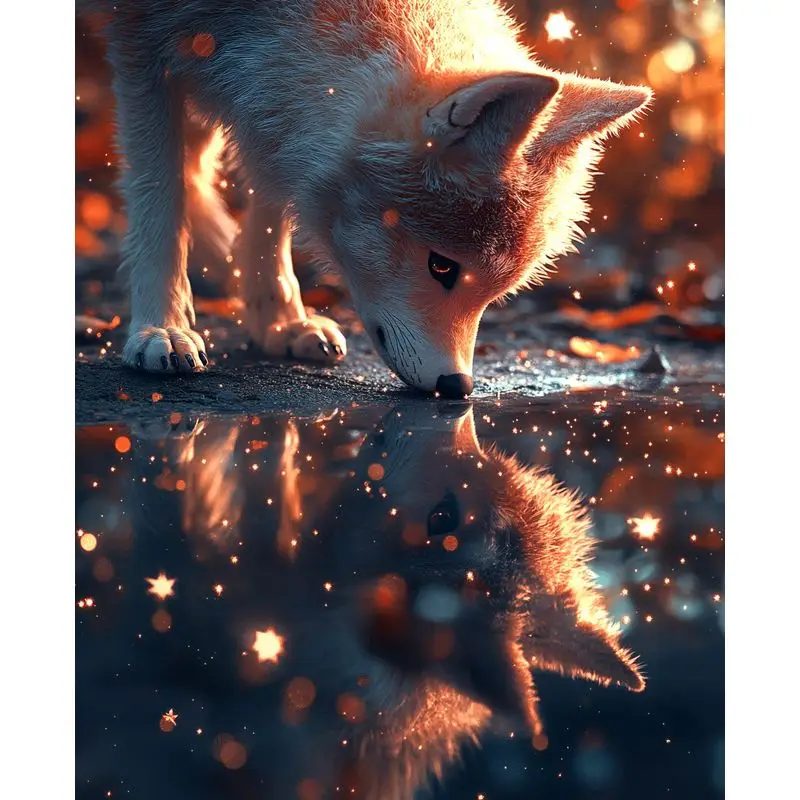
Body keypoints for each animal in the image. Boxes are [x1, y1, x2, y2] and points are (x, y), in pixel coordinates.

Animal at [79, 0, 651, 396]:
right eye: (442, 267)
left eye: (493, 292)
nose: (458, 387)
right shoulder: (142, 44)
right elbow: (159, 199)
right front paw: (162, 327)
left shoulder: (264, 107)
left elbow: (269, 212)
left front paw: (279, 321)